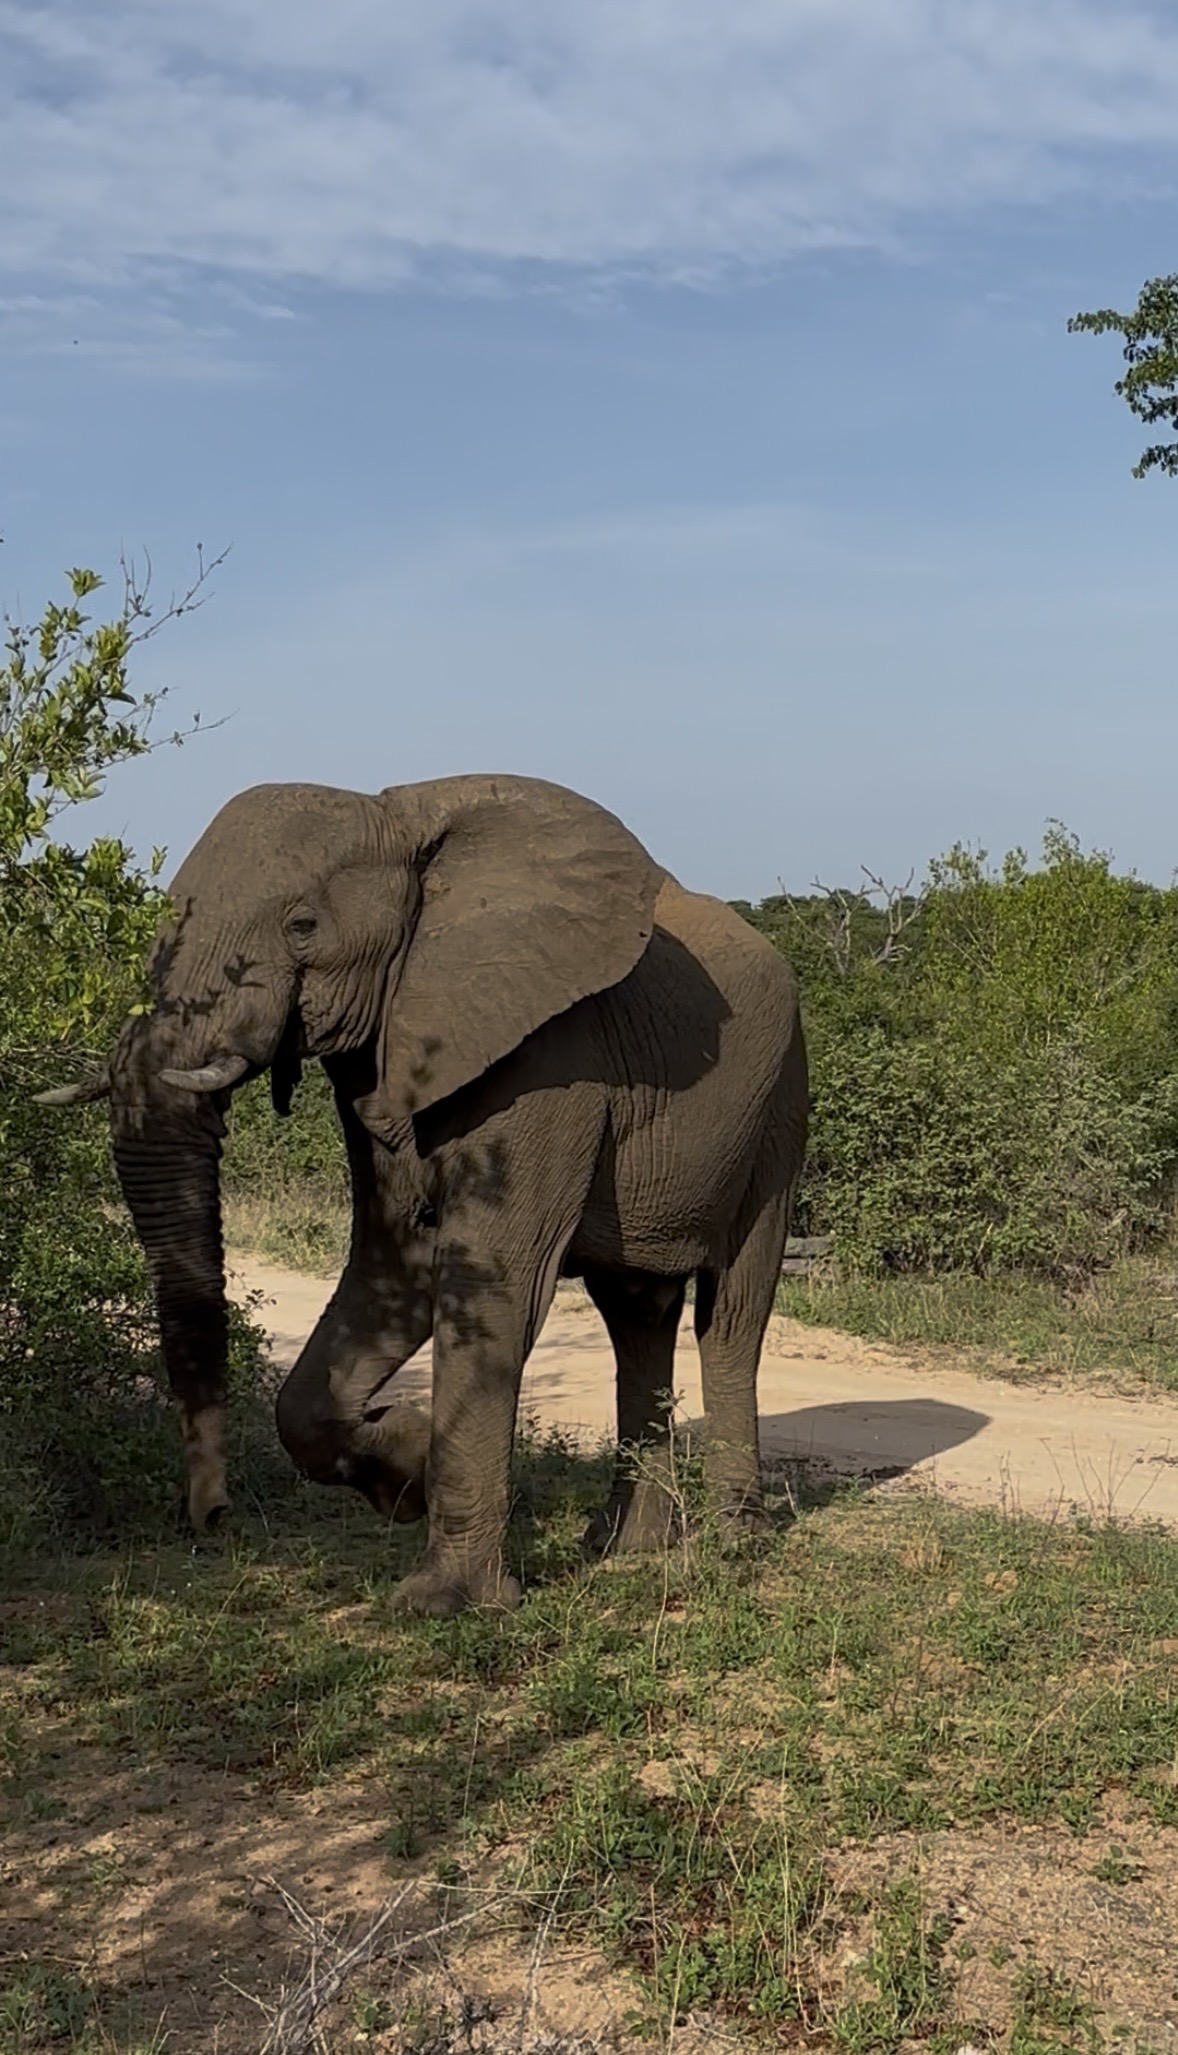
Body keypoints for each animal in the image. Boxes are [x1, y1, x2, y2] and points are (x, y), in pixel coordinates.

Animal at [39, 775, 807, 1616]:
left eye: (303, 926)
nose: (214, 1516)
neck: (395, 813)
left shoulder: (553, 1055)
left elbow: (496, 1278)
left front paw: (444, 1600)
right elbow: (393, 1263)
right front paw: (404, 1463)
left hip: (778, 1107)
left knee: (731, 1313)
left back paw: (733, 1544)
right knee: (636, 1314)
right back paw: (624, 1547)